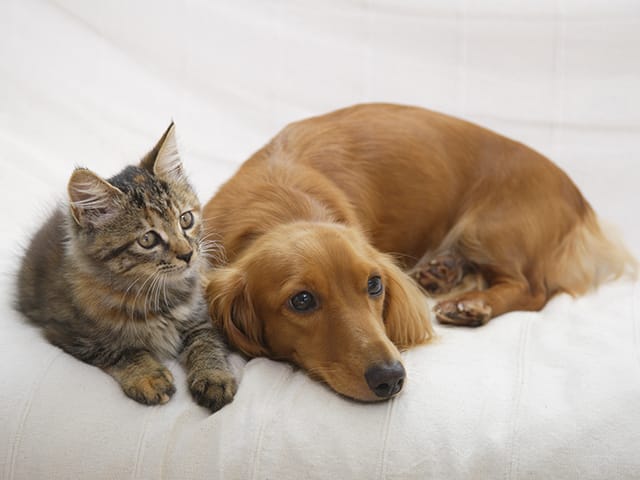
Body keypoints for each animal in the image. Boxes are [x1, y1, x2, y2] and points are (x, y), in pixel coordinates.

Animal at [16, 124, 238, 412]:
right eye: (148, 239)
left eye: (186, 220)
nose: (188, 254)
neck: (156, 296)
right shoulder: (68, 333)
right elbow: (120, 350)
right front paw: (148, 376)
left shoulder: (201, 316)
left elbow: (207, 343)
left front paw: (214, 377)